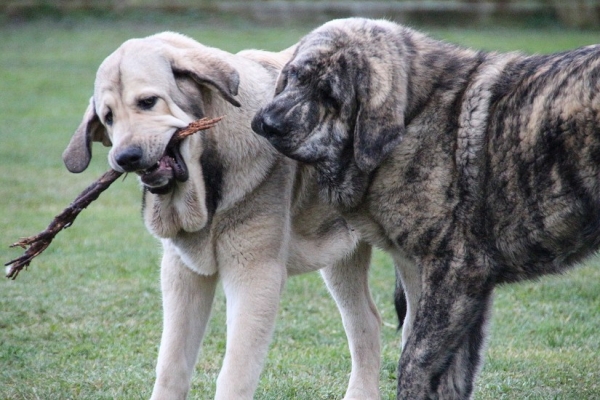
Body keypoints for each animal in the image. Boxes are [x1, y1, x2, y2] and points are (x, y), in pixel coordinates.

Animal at [61, 32, 380, 400]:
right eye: (108, 117)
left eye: (148, 102)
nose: (125, 157)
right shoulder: (182, 274)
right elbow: (171, 366)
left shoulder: (255, 275)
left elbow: (235, 373)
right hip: (342, 258)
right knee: (367, 323)